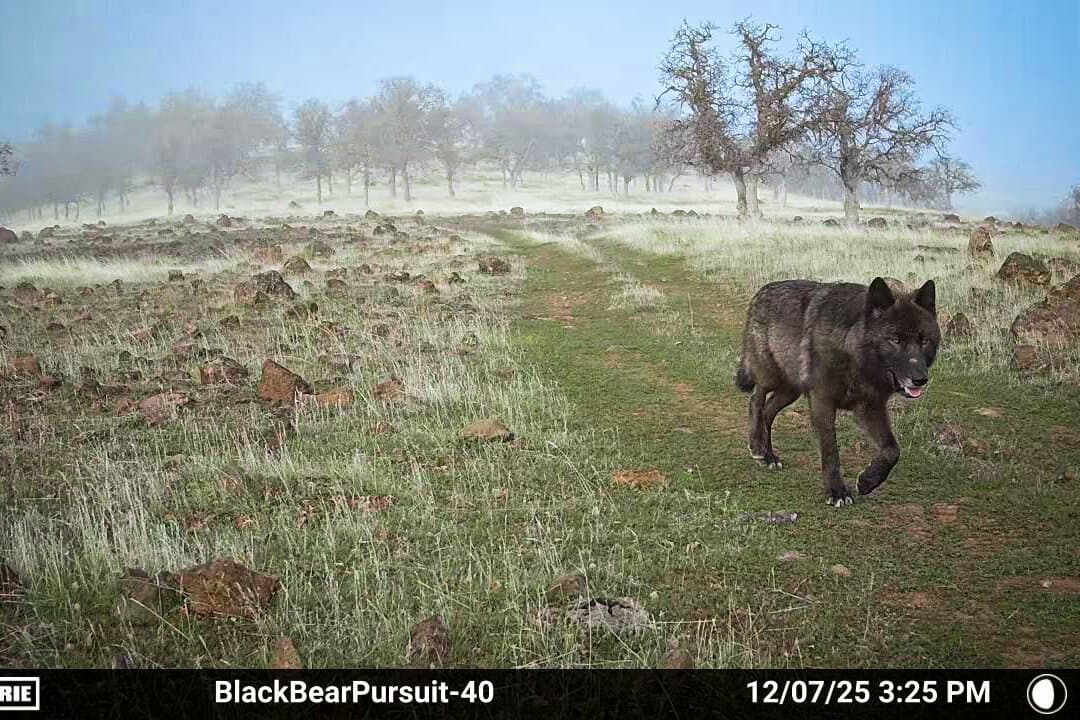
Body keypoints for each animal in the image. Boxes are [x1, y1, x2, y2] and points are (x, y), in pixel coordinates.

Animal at [735, 277, 940, 507]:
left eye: (924, 341)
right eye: (895, 340)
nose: (920, 379)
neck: (852, 353)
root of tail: (762, 291)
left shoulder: (870, 407)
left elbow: (892, 450)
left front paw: (867, 481)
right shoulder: (822, 402)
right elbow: (830, 450)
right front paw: (837, 491)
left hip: (790, 391)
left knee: (768, 412)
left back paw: (768, 456)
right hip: (770, 377)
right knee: (756, 400)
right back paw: (756, 445)